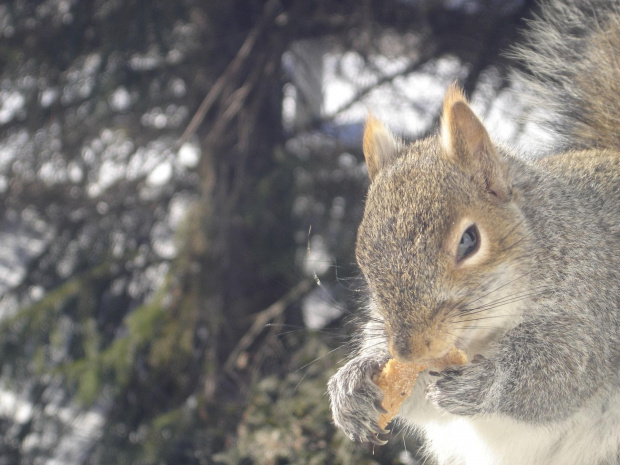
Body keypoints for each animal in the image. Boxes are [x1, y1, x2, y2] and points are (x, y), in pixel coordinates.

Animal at [326, 0, 616, 464]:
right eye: (364, 260)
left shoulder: (596, 309)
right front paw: (353, 382)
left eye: (469, 241)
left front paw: (486, 383)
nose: (410, 350)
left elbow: (566, 372)